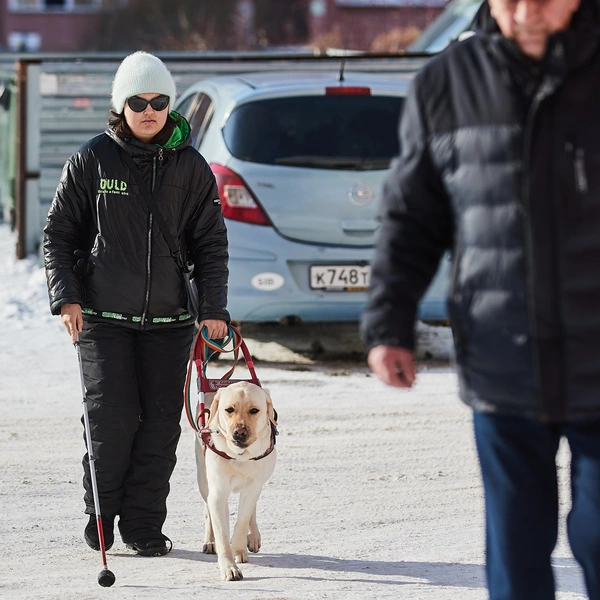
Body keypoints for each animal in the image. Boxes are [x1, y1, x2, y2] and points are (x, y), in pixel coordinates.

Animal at [196, 380, 278, 580]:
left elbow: (242, 521)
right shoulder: (218, 494)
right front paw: (229, 568)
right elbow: (222, 533)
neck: (240, 457)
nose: (239, 432)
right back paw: (210, 542)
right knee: (208, 511)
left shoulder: (253, 488)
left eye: (254, 410)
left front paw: (239, 550)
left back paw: (254, 537)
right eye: (229, 409)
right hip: (203, 480)